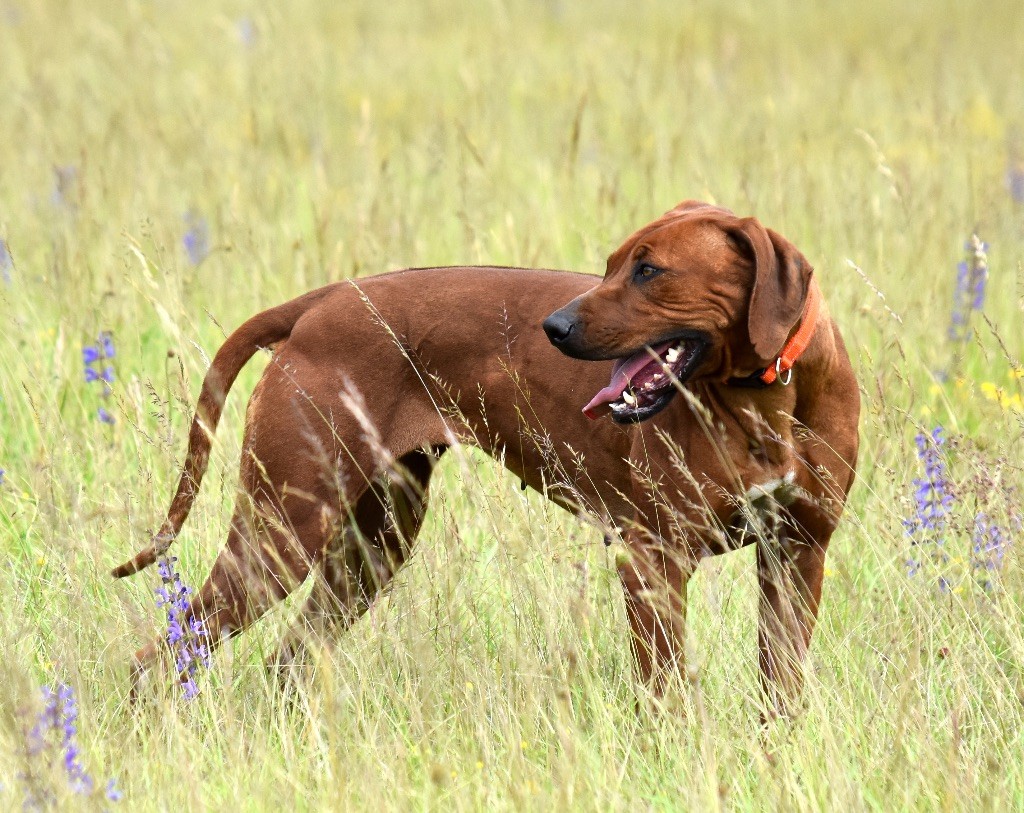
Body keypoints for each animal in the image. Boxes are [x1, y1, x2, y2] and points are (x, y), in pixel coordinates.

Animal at [116, 199, 860, 704]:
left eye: (650, 270)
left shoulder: (797, 556)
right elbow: (664, 694)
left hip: (371, 546)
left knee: (285, 661)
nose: (554, 327)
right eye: (611, 265)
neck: (765, 396)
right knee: (162, 653)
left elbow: (782, 690)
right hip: (283, 533)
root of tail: (321, 302)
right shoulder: (654, 559)